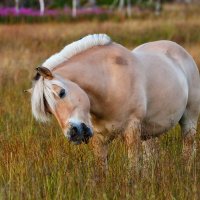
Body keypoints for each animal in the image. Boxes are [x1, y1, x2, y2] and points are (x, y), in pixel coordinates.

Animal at [26, 33, 200, 173]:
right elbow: (102, 171)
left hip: (189, 120)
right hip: (149, 133)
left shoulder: (132, 130)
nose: (73, 134)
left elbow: (133, 170)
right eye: (49, 110)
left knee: (188, 149)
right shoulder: (100, 138)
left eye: (61, 92)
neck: (109, 84)